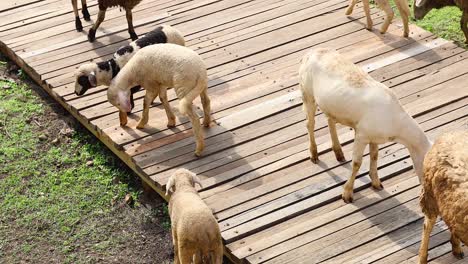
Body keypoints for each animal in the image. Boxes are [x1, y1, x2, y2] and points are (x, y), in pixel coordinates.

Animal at [300, 48, 432, 203]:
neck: (397, 126)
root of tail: (311, 52)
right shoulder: (362, 134)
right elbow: (357, 163)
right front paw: (347, 194)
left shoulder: (374, 137)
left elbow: (374, 156)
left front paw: (376, 182)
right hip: (307, 93)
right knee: (310, 124)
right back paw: (314, 154)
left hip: (331, 104)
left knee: (330, 120)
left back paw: (338, 152)